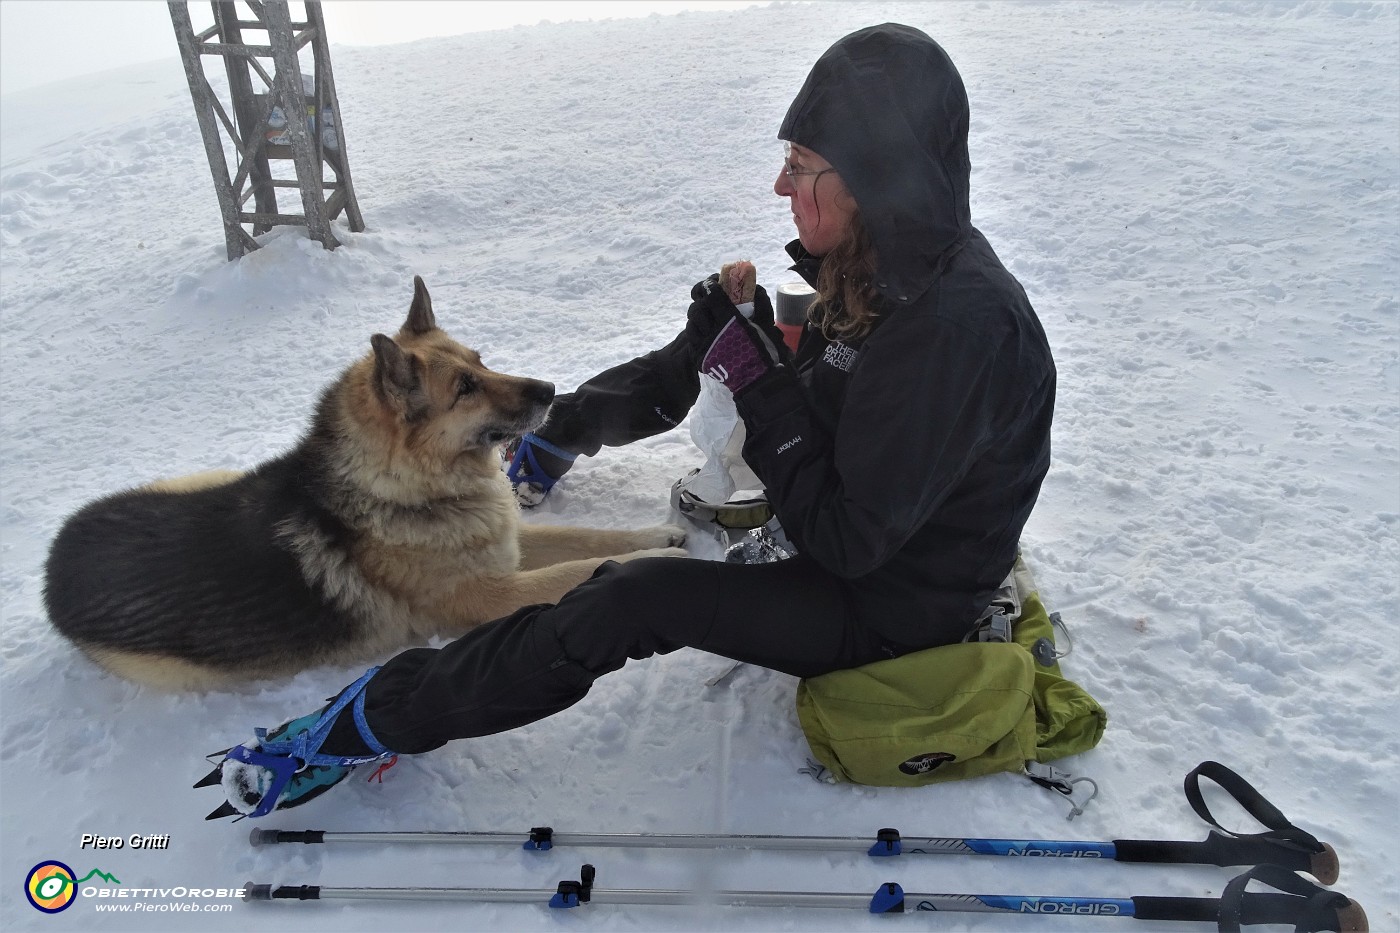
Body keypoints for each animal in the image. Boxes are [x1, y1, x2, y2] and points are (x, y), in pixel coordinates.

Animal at [46, 273, 691, 686]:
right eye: (464, 388)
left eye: (480, 361)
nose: (551, 391)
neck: (395, 486)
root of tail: (54, 565)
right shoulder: (488, 594)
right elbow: (575, 568)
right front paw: (657, 564)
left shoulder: (505, 543)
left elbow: (588, 537)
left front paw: (654, 536)